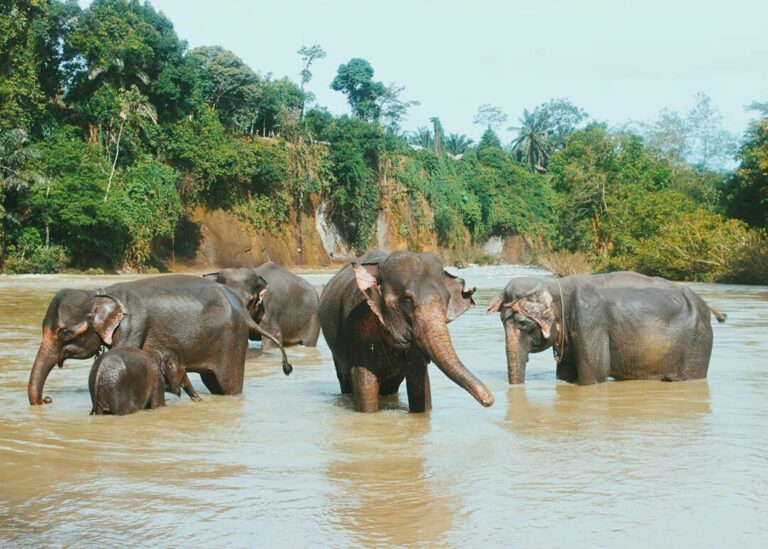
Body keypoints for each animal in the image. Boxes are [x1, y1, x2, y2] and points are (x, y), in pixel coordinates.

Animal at [320, 248, 496, 412]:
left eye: (447, 300)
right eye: (407, 299)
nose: (490, 400)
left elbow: (420, 385)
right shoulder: (357, 327)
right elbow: (365, 384)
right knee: (344, 379)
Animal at [486, 270, 728, 386]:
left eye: (523, 324)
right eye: (502, 322)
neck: (555, 286)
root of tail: (706, 306)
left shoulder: (590, 321)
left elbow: (595, 376)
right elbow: (564, 375)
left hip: (698, 344)